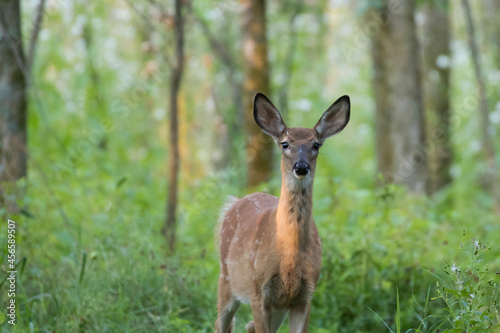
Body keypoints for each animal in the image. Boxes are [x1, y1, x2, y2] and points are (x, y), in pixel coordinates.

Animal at [215, 91, 352, 332]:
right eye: (285, 144)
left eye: (316, 145)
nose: (301, 167)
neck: (289, 255)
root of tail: (234, 203)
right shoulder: (259, 291)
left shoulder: (304, 295)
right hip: (227, 278)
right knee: (222, 323)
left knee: (247, 326)